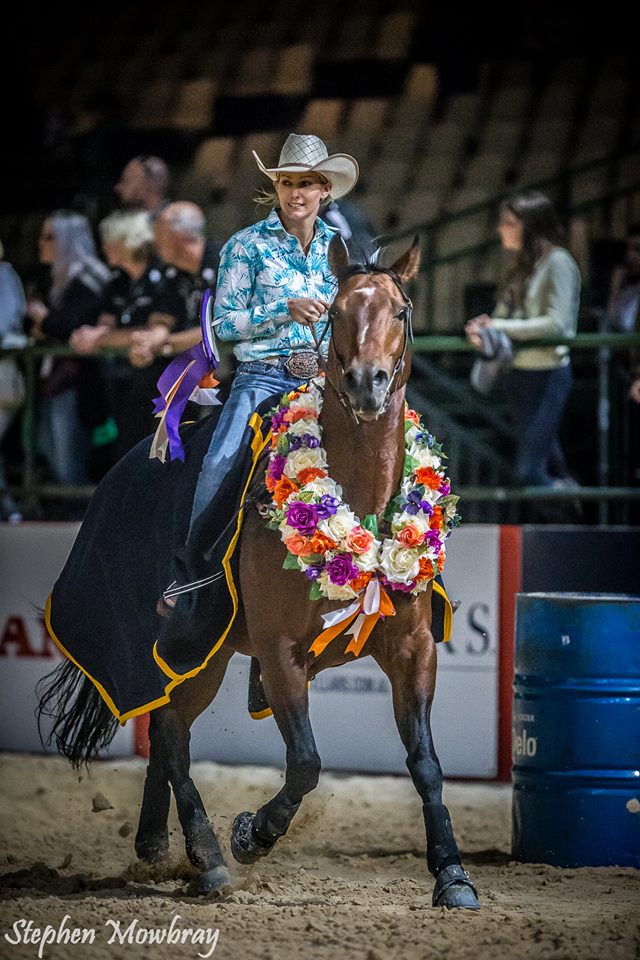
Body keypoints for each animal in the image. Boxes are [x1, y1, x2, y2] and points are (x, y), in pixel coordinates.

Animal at [35, 236, 476, 912]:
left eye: (400, 312)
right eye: (335, 311)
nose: (367, 384)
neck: (360, 497)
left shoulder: (413, 646)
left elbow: (425, 761)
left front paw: (452, 874)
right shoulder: (278, 649)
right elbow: (306, 762)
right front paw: (253, 834)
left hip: (200, 659)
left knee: (167, 733)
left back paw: (157, 846)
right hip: (191, 653)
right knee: (171, 738)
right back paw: (213, 860)